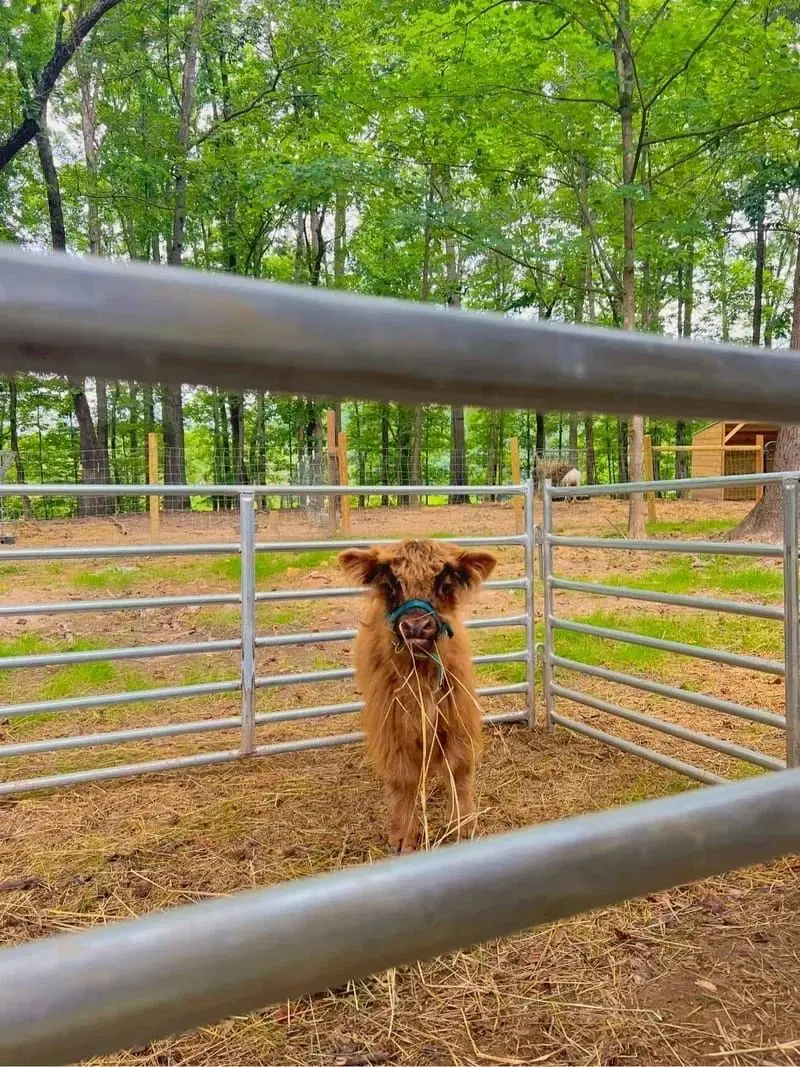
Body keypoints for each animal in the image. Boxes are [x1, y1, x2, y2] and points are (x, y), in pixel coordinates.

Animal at [341, 537, 499, 853]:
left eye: (444, 583)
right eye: (391, 583)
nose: (416, 627)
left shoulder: (457, 716)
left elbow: (458, 770)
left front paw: (463, 825)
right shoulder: (393, 727)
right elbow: (403, 780)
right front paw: (404, 836)